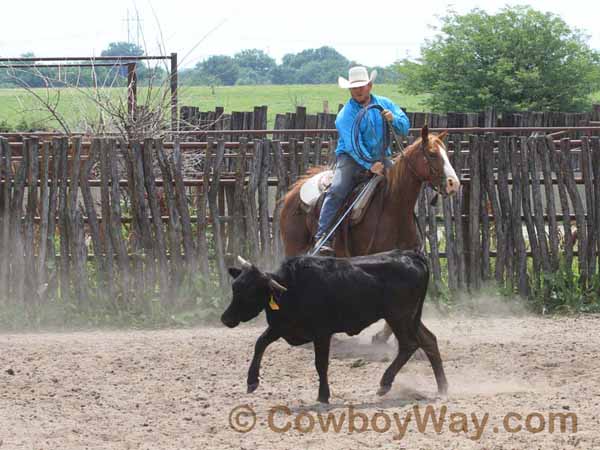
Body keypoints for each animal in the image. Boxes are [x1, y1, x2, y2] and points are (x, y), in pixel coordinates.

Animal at [280, 126, 460, 344]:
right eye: (433, 154)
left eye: (447, 154)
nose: (453, 184)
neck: (394, 207)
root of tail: (295, 189)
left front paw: (382, 336)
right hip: (293, 246)